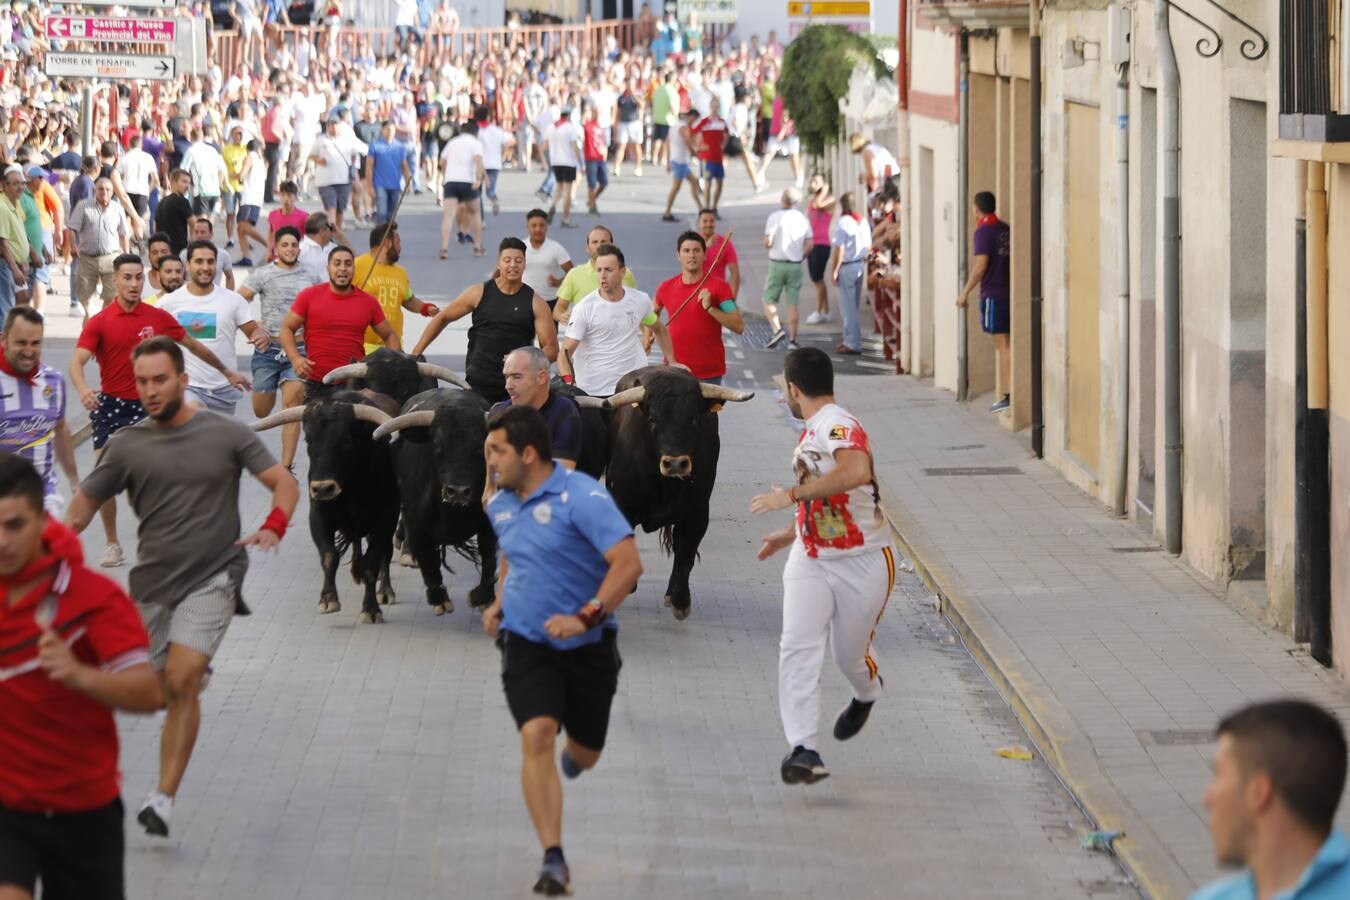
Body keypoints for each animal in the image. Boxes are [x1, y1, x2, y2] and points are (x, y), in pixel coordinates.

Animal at [577, 367, 756, 620]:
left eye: (693, 419)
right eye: (653, 420)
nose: (675, 463)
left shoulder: (697, 514)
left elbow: (685, 554)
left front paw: (680, 600)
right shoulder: (622, 506)